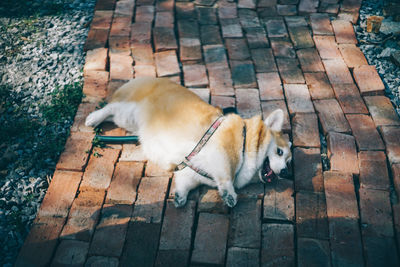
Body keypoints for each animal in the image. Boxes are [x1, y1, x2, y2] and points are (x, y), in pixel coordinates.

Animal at [85, 78, 290, 208]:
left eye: (289, 162)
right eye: (280, 152)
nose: (286, 173)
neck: (246, 140)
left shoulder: (190, 172)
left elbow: (185, 183)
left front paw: (179, 197)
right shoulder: (223, 155)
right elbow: (227, 176)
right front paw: (229, 195)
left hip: (128, 122)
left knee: (112, 113)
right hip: (128, 112)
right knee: (110, 107)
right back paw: (92, 118)